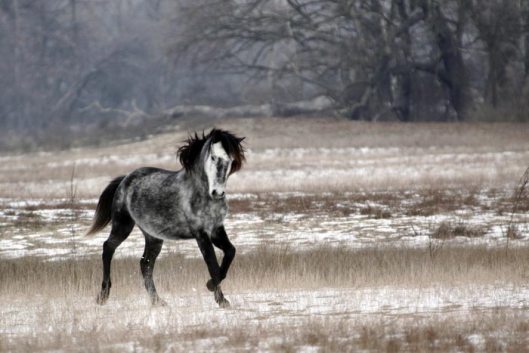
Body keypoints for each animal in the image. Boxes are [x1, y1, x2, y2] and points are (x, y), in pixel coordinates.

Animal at [86, 128, 245, 306]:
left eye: (231, 159)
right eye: (212, 157)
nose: (218, 192)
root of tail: (124, 180)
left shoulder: (216, 230)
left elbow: (230, 252)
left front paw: (217, 293)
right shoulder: (201, 234)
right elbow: (212, 265)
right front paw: (219, 296)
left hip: (153, 236)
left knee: (145, 263)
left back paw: (158, 301)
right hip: (122, 225)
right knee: (108, 248)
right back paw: (103, 296)